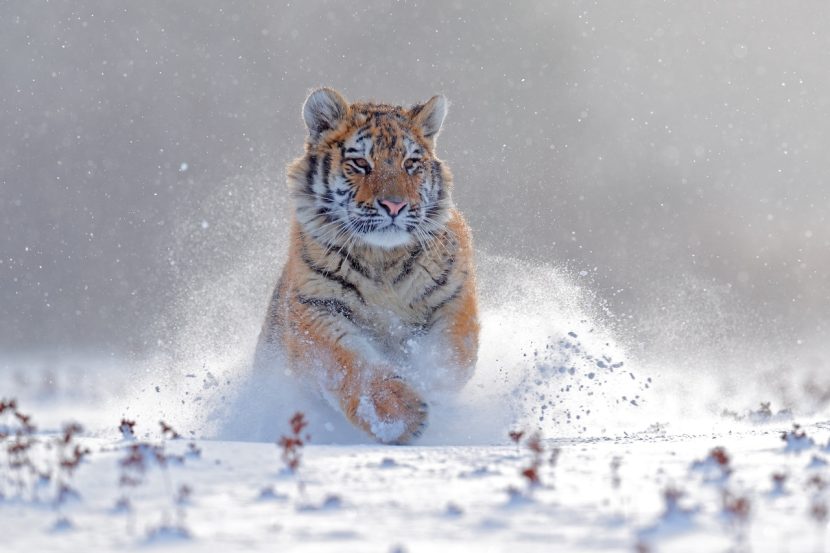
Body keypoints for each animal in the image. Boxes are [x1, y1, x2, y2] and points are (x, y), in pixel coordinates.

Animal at [255, 87, 480, 444]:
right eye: (360, 163)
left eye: (410, 163)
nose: (394, 205)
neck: (382, 259)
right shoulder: (316, 308)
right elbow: (351, 364)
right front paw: (400, 417)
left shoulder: (453, 299)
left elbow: (449, 360)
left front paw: (430, 387)